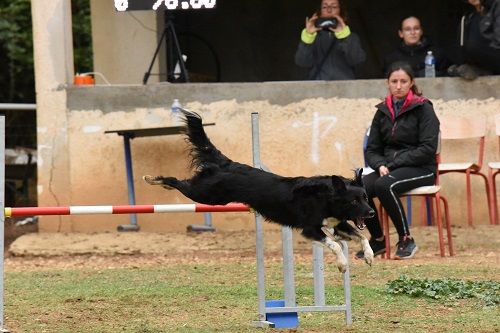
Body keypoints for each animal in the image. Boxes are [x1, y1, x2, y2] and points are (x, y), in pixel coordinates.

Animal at [144, 109, 376, 270]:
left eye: (365, 198)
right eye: (354, 200)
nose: (372, 213)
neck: (326, 198)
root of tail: (227, 163)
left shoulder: (336, 224)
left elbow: (361, 236)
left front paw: (370, 256)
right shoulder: (310, 228)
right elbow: (335, 244)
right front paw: (343, 264)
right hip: (207, 195)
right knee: (178, 181)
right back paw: (155, 179)